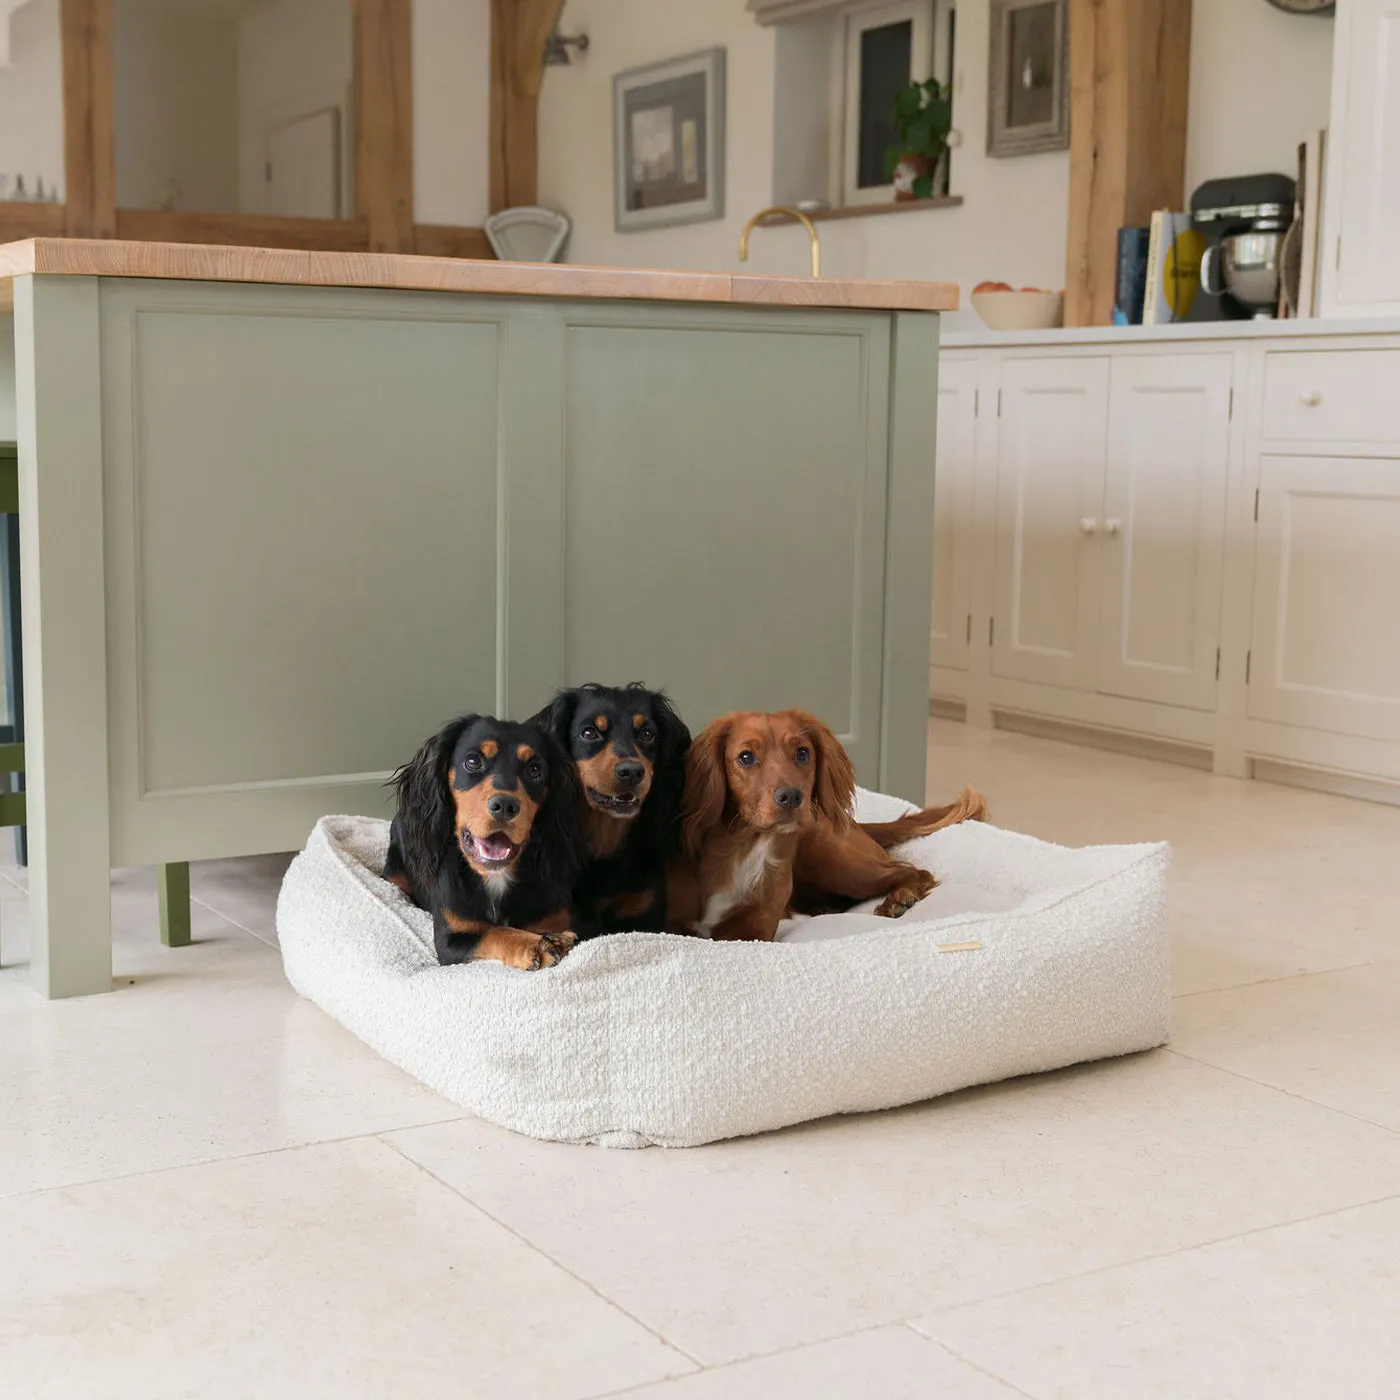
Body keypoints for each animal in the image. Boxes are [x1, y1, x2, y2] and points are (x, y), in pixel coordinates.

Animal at [666, 705, 985, 946]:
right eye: (746, 757)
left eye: (803, 753)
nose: (792, 796)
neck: (739, 848)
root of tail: (857, 824)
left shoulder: (755, 934)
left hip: (834, 861)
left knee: (910, 870)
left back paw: (900, 898)